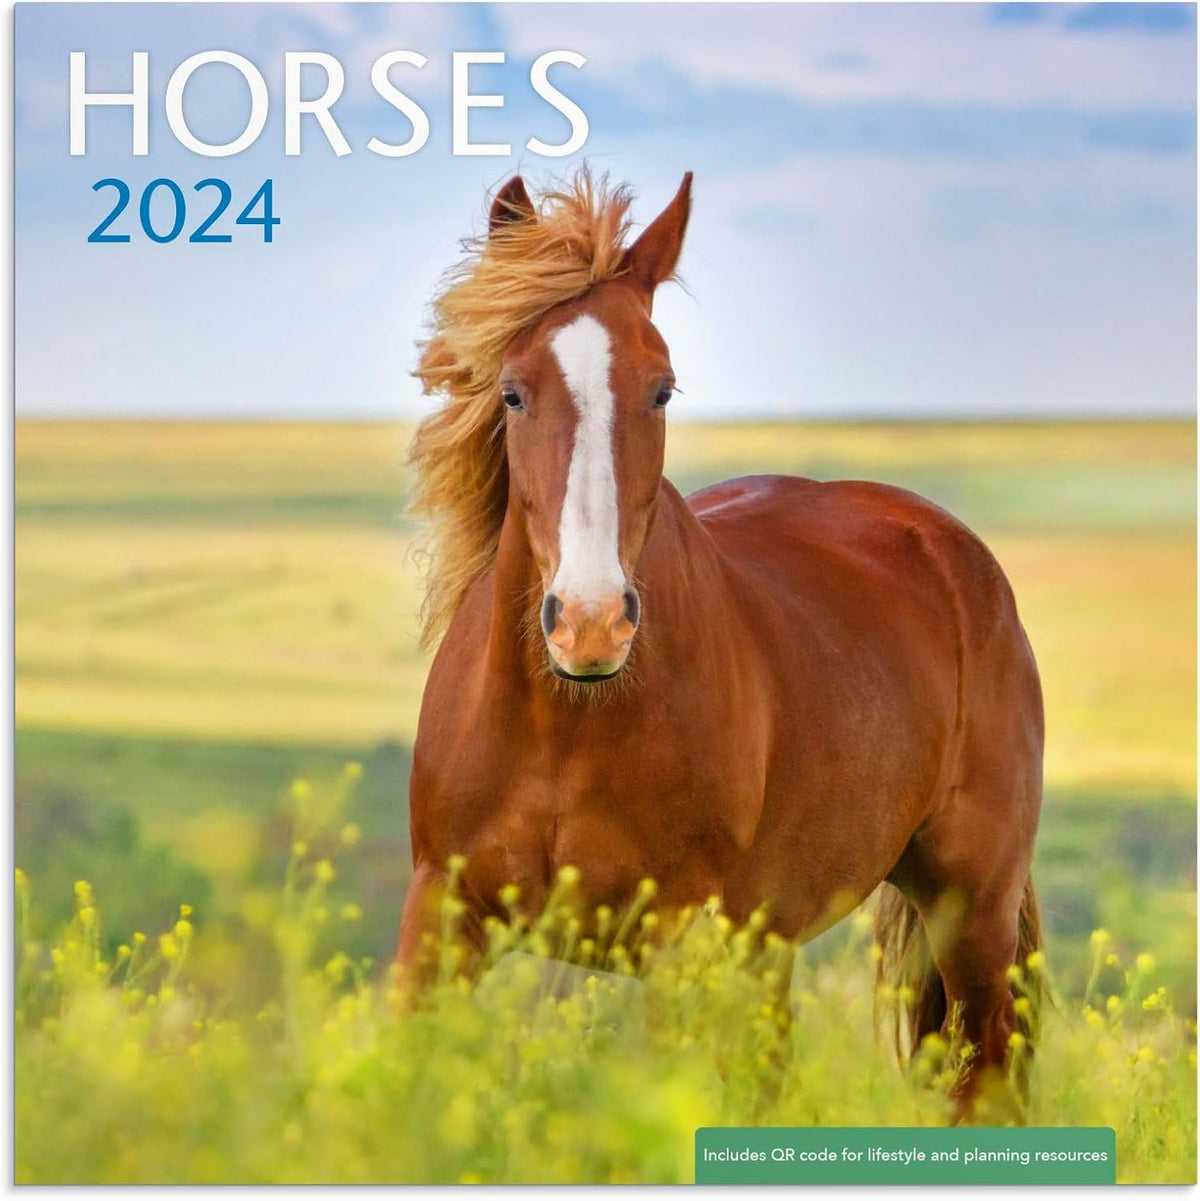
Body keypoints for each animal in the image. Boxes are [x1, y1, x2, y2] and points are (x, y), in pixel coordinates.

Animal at [398, 168, 1044, 1111]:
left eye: (661, 388)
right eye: (513, 391)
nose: (591, 622)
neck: (567, 723)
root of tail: (949, 547)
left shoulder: (677, 940)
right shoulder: (441, 917)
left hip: (973, 915)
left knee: (985, 1074)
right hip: (769, 945)